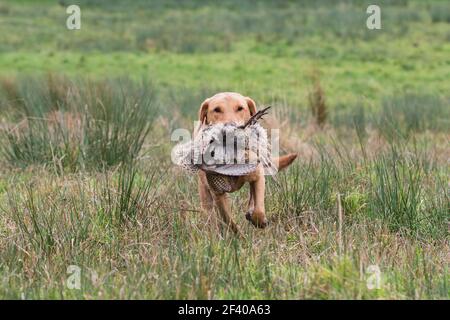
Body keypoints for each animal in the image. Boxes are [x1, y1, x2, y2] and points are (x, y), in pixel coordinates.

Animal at [196, 91, 296, 234]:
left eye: (240, 108)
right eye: (216, 109)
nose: (230, 131)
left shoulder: (258, 176)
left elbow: (258, 207)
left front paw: (260, 220)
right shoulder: (217, 192)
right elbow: (229, 220)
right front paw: (240, 236)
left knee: (252, 194)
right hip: (205, 196)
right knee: (210, 214)